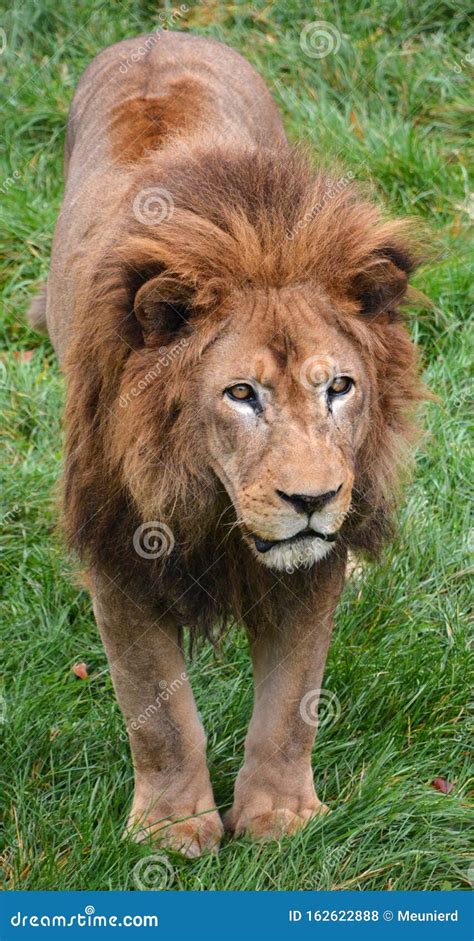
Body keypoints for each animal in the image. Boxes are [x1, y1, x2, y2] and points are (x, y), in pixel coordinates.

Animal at [27, 31, 424, 852]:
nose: (311, 498)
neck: (209, 499)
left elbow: (291, 704)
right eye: (241, 394)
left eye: (340, 387)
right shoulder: (120, 556)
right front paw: (173, 829)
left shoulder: (313, 565)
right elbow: (157, 713)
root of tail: (160, 33)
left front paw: (279, 820)